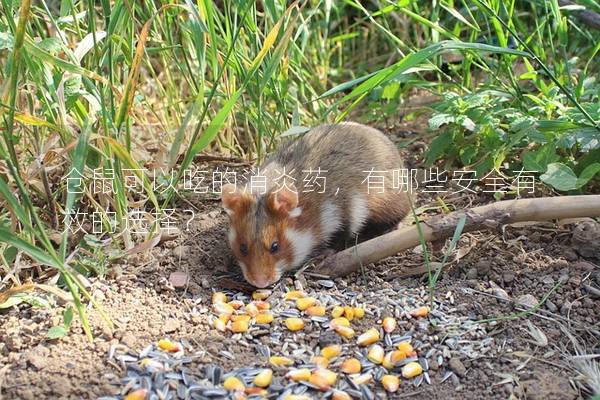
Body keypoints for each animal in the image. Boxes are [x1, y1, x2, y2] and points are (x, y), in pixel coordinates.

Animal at [221, 122, 412, 288]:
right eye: (243, 248)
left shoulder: (345, 212)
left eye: (275, 246)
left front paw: (322, 255)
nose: (259, 283)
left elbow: (340, 237)